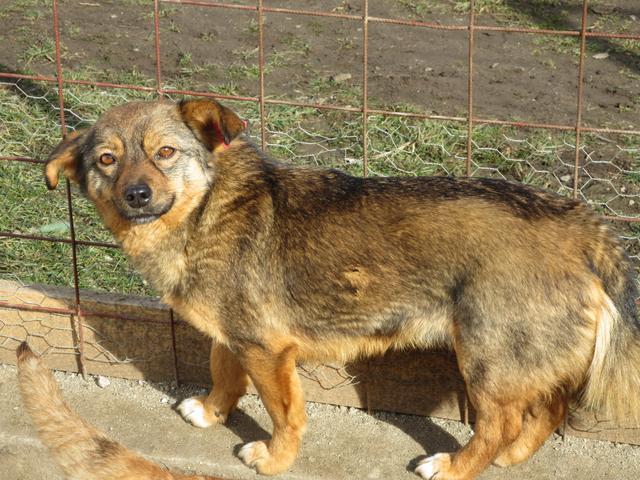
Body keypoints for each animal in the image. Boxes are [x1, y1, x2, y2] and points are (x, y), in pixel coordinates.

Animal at [43, 98, 640, 480]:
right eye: (107, 160)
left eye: (165, 152)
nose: (137, 195)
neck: (206, 209)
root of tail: (585, 225)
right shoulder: (235, 337)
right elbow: (221, 372)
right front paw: (212, 413)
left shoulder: (268, 351)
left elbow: (284, 415)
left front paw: (274, 460)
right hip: (524, 356)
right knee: (552, 406)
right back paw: (513, 458)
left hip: (486, 358)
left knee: (501, 423)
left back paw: (456, 465)